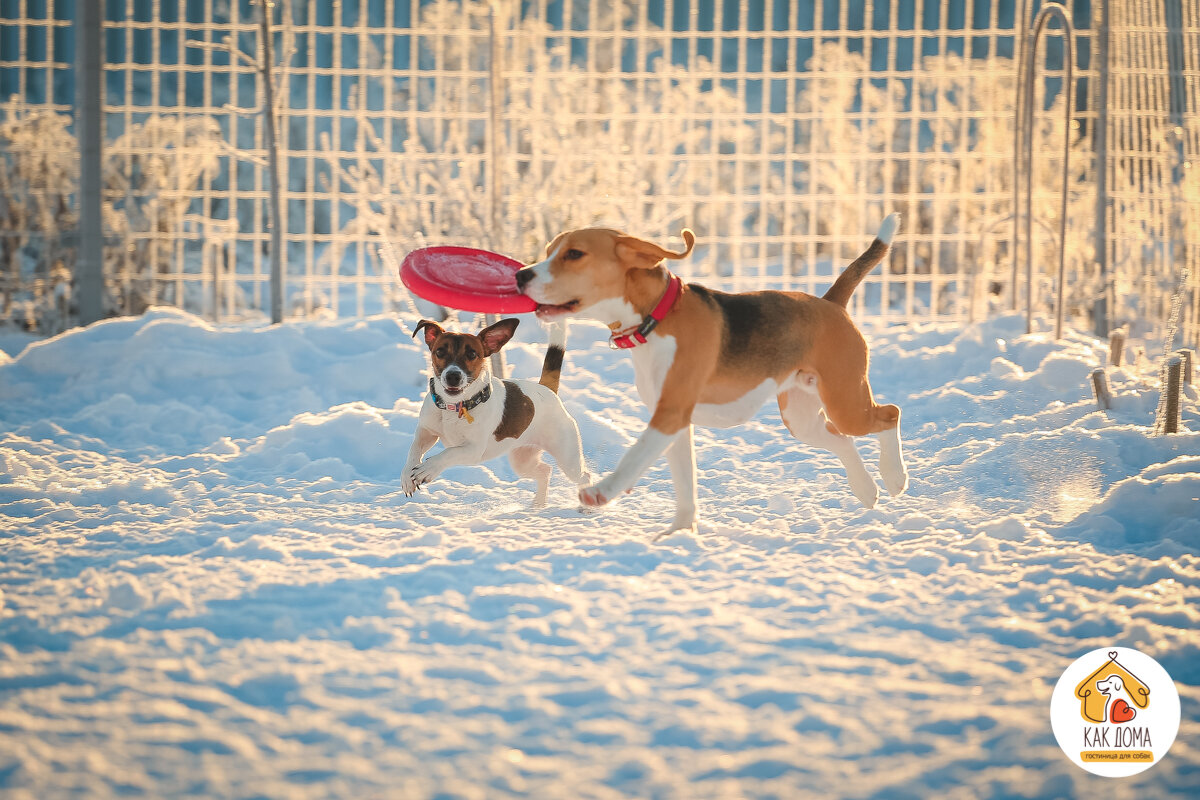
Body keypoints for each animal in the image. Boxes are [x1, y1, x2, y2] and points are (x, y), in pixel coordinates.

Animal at [403, 316, 590, 506]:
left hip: (567, 458)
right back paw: (537, 504)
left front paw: (428, 469)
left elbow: (448, 453)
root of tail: (546, 389)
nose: (453, 376)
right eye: (440, 351)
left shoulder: (473, 450)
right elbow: (414, 450)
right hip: (522, 459)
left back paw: (587, 504)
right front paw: (407, 477)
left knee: (585, 477)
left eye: (472, 354)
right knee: (545, 470)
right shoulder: (426, 432)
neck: (455, 406)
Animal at [516, 215, 907, 534]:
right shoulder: (675, 422)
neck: (657, 317)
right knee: (843, 440)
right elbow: (685, 483)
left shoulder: (669, 414)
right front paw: (680, 533)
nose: (520, 275)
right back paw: (866, 489)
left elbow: (634, 458)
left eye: (574, 254)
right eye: (549, 251)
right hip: (801, 417)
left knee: (890, 415)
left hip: (845, 401)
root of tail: (830, 302)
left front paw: (600, 493)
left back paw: (895, 477)